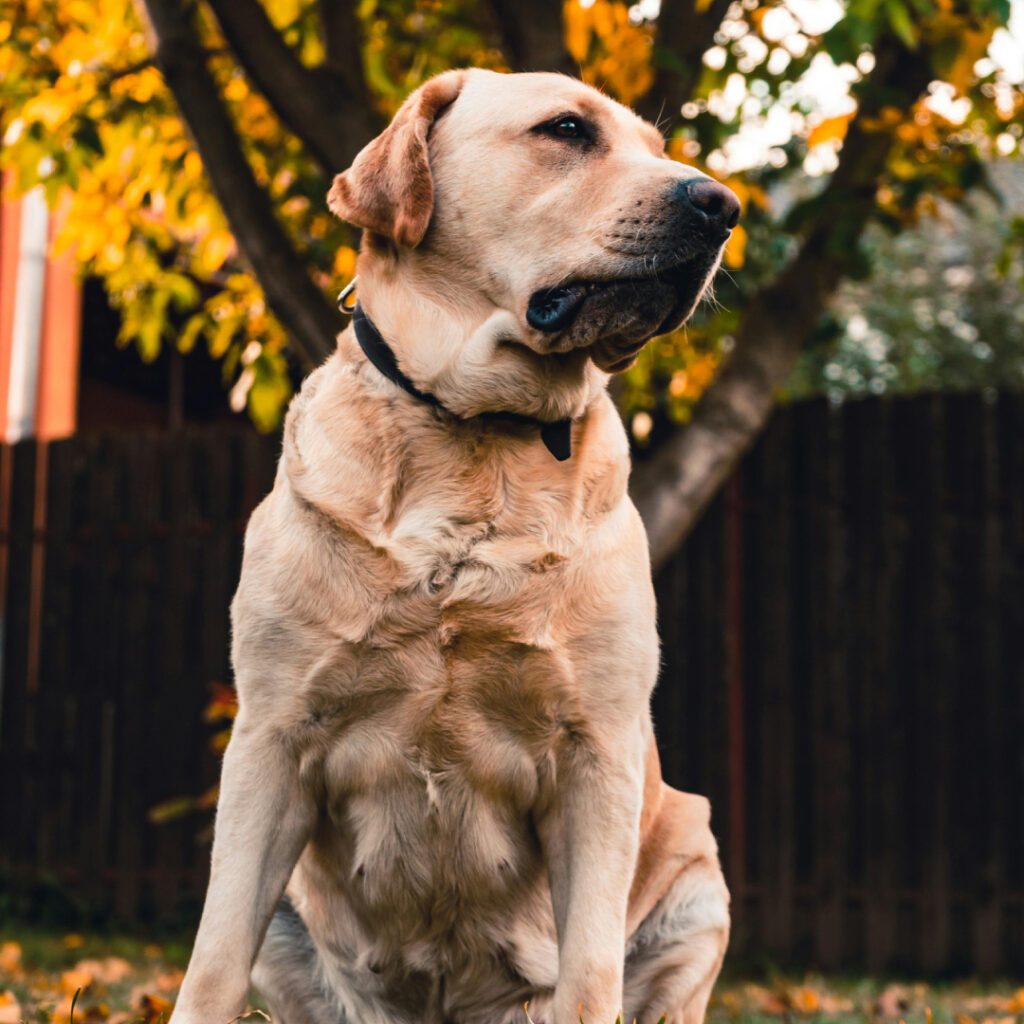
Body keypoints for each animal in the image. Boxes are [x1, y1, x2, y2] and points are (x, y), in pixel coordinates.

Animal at [172, 70, 741, 1024]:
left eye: (659, 151)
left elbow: (590, 974)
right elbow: (212, 961)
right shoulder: (271, 741)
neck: (478, 433)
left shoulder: (599, 755)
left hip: (696, 874)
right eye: (567, 130)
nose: (722, 204)